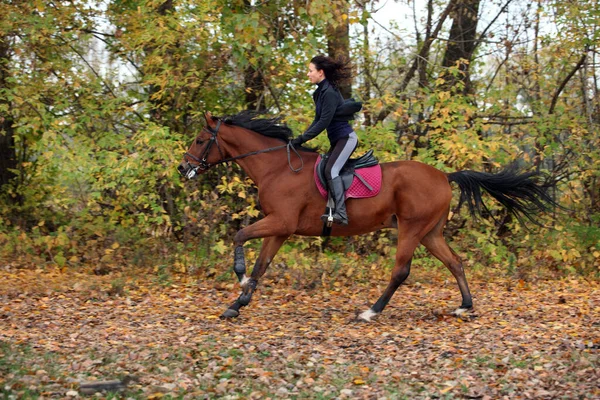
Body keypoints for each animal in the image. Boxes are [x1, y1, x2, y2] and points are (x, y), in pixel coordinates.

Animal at [178, 111, 556, 320]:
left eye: (199, 140)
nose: (183, 168)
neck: (276, 167)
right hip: (431, 232)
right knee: (455, 262)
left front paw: (239, 278)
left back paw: (371, 312)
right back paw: (464, 305)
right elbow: (262, 265)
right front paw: (238, 303)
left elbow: (240, 236)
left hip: (412, 229)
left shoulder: (281, 222)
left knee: (401, 271)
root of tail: (444, 176)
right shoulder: (281, 229)